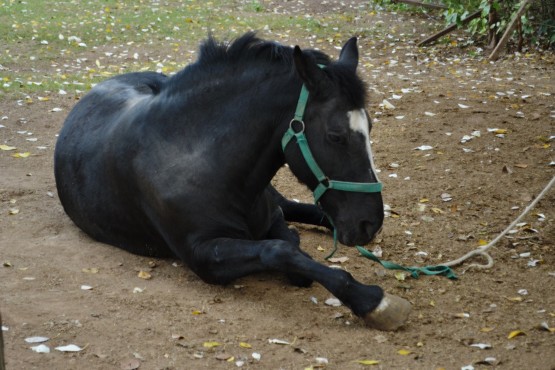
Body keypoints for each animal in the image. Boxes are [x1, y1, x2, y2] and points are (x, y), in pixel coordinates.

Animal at [55, 33, 412, 330]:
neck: (195, 155)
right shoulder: (202, 254)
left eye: (370, 126)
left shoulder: (271, 218)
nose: (369, 223)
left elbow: (289, 244)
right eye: (335, 135)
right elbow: (280, 250)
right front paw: (371, 300)